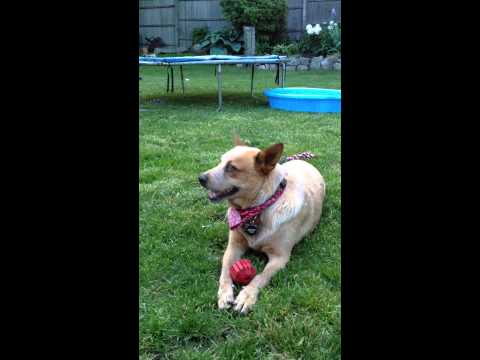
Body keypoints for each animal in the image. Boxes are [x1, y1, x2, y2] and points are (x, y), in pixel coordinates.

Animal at [199, 139, 326, 314]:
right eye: (220, 162)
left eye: (232, 168)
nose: (200, 178)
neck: (257, 209)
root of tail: (303, 162)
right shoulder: (234, 246)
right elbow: (225, 270)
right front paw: (224, 293)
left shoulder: (280, 257)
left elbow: (260, 277)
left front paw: (247, 296)